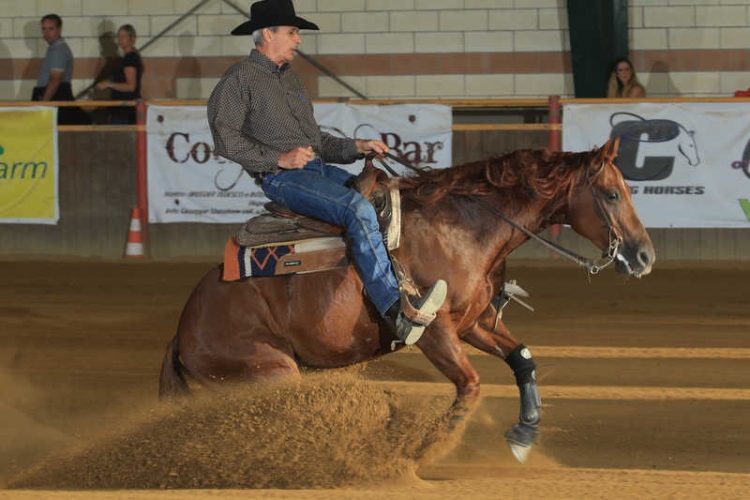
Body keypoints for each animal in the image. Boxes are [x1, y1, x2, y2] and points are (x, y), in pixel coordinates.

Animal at [160, 138, 656, 464]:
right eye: (612, 193)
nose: (644, 255)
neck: (462, 226)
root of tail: (183, 329)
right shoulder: (434, 331)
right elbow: (470, 386)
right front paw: (420, 452)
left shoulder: (475, 323)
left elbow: (522, 359)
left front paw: (523, 433)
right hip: (270, 371)